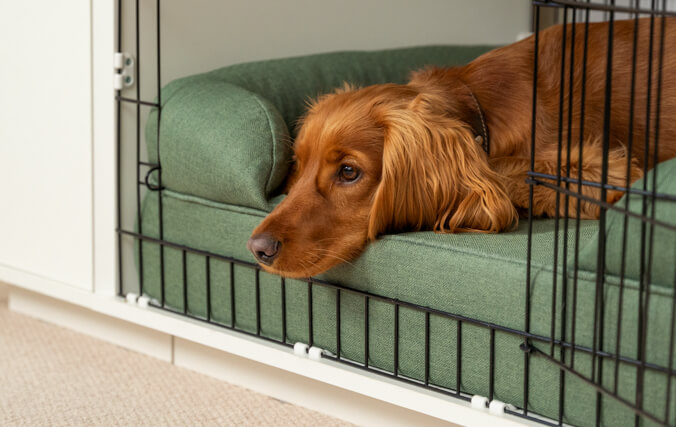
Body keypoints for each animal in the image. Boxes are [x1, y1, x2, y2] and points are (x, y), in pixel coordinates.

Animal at [248, 17, 676, 278]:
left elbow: (507, 172)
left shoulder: (608, 169)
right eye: (297, 165)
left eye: (349, 172)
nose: (258, 248)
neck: (479, 105)